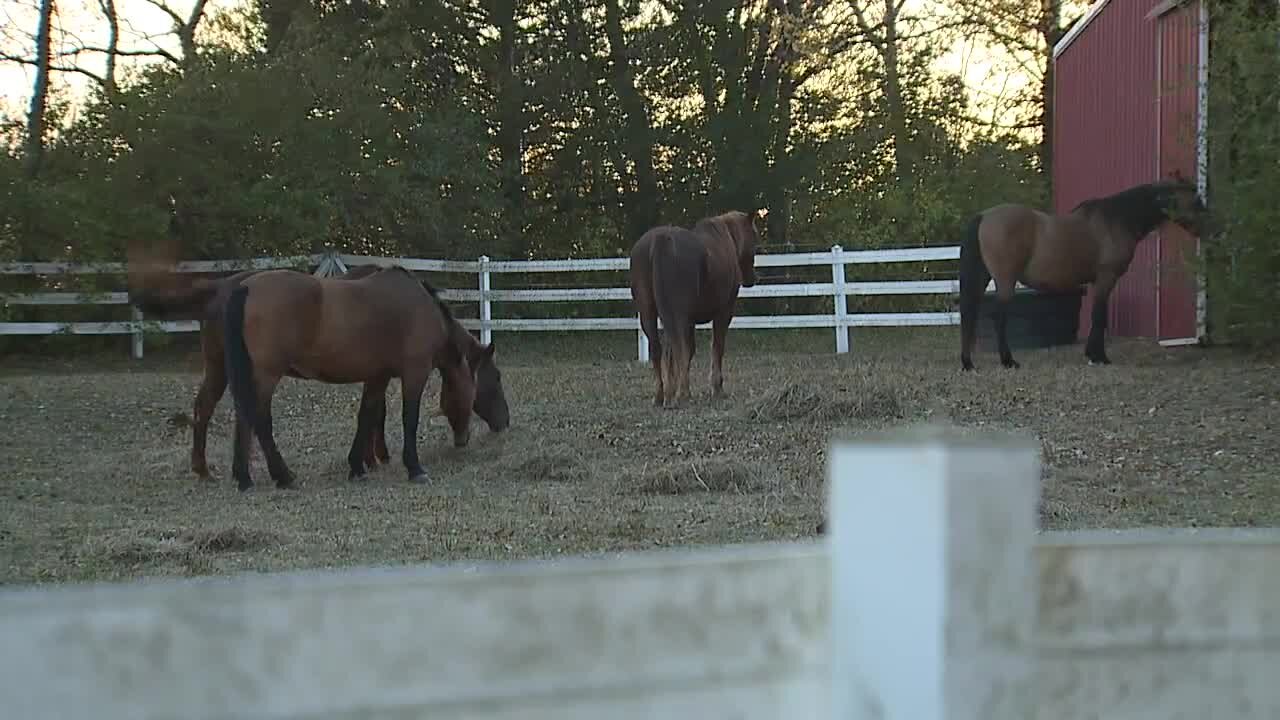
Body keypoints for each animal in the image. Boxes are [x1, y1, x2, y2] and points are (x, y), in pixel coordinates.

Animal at [220, 266, 504, 489]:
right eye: (495, 379)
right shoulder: (415, 373)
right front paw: (414, 468)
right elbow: (409, 418)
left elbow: (366, 416)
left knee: (244, 418)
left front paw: (357, 466)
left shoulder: (378, 376)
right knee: (260, 420)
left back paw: (244, 478)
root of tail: (246, 287)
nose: (504, 423)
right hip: (266, 375)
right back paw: (283, 476)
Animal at [627, 210, 752, 407]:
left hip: (650, 313)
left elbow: (684, 351)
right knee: (678, 348)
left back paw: (662, 395)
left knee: (660, 348)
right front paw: (716, 388)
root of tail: (661, 240)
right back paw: (682, 394)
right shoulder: (723, 312)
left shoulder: (688, 319)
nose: (750, 279)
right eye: (754, 237)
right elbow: (716, 347)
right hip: (677, 314)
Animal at [962, 178, 1208, 368]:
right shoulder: (1106, 278)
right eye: (1197, 202)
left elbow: (1098, 316)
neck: (1117, 220)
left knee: (970, 313)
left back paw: (968, 363)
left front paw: (1093, 354)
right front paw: (1099, 357)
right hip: (1005, 280)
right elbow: (1099, 316)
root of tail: (984, 216)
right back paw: (1008, 361)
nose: (1210, 229)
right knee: (998, 318)